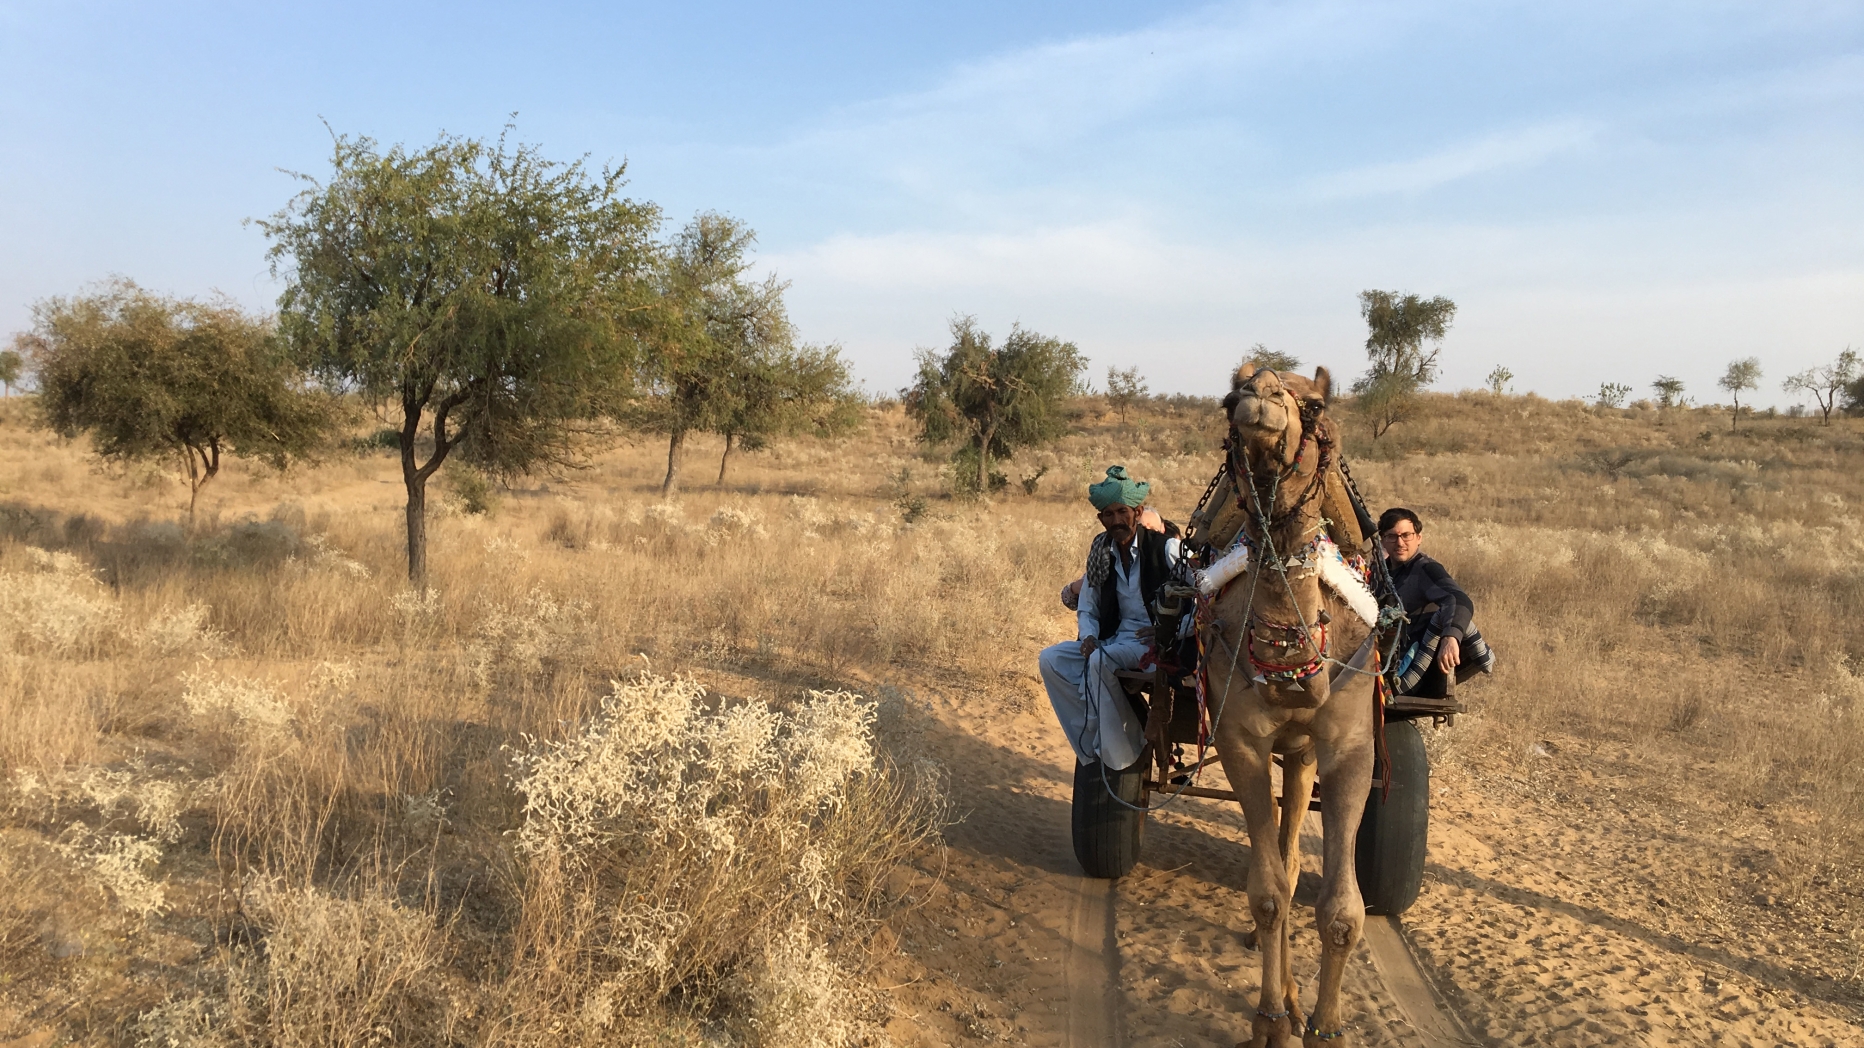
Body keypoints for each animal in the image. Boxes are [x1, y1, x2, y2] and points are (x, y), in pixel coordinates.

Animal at [1200, 363, 1394, 1036]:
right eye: (1228, 399)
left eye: (1313, 404)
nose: (1259, 398)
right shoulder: (1240, 742)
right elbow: (1268, 895)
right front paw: (1271, 1020)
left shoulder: (1352, 747)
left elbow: (1341, 911)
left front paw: (1326, 1027)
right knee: (1280, 870)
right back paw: (1281, 995)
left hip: (1307, 750)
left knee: (1290, 850)